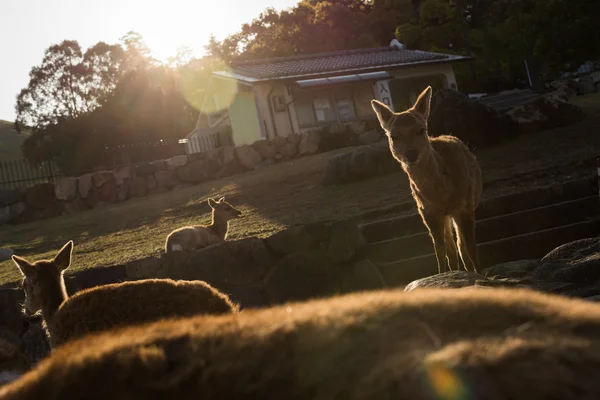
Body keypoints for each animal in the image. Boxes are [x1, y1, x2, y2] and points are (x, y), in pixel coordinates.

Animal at [370, 86, 482, 276]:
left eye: (421, 129)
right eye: (393, 136)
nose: (411, 154)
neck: (441, 195)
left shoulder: (465, 205)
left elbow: (470, 246)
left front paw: (482, 274)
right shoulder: (426, 211)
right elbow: (440, 249)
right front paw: (442, 274)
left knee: (460, 244)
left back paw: (469, 271)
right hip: (444, 216)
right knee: (452, 247)